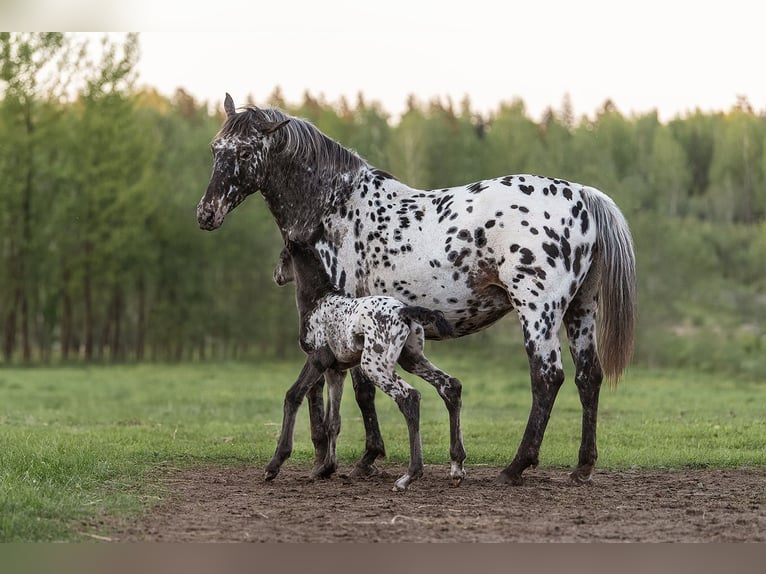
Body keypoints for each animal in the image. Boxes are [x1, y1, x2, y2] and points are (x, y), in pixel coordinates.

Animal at [264, 241, 468, 492]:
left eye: (284, 254)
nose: (277, 275)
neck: (318, 302)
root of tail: (403, 311)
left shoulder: (316, 359)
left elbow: (293, 396)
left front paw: (274, 465)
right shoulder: (336, 370)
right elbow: (333, 421)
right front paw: (326, 469)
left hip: (374, 365)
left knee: (409, 397)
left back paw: (408, 477)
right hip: (411, 359)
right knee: (450, 385)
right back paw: (456, 467)